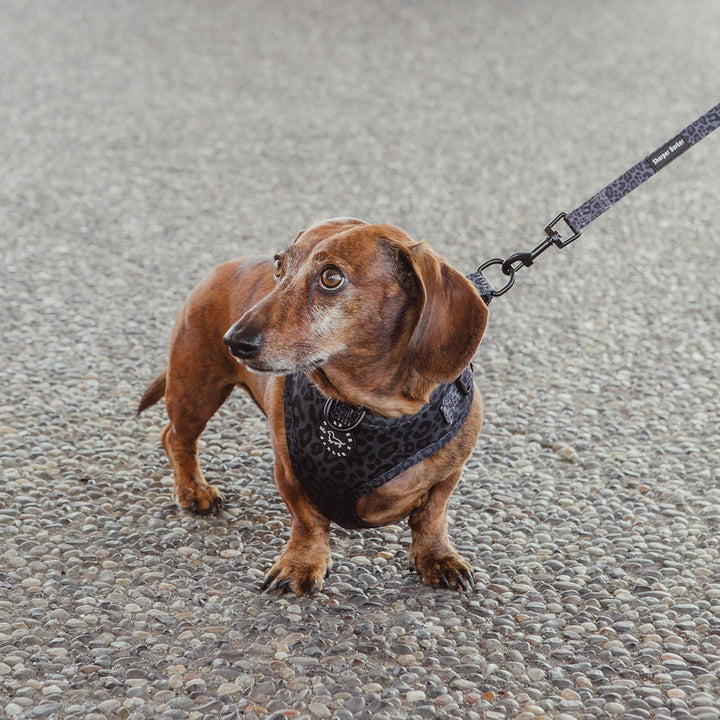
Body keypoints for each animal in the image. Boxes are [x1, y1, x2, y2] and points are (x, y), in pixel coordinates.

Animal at [139, 219, 490, 596]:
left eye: (331, 277)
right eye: (279, 266)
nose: (234, 342)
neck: (364, 407)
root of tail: (223, 268)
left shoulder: (449, 473)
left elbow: (432, 516)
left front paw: (437, 557)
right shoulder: (289, 471)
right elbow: (307, 520)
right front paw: (302, 564)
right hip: (196, 389)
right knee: (175, 438)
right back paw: (193, 489)